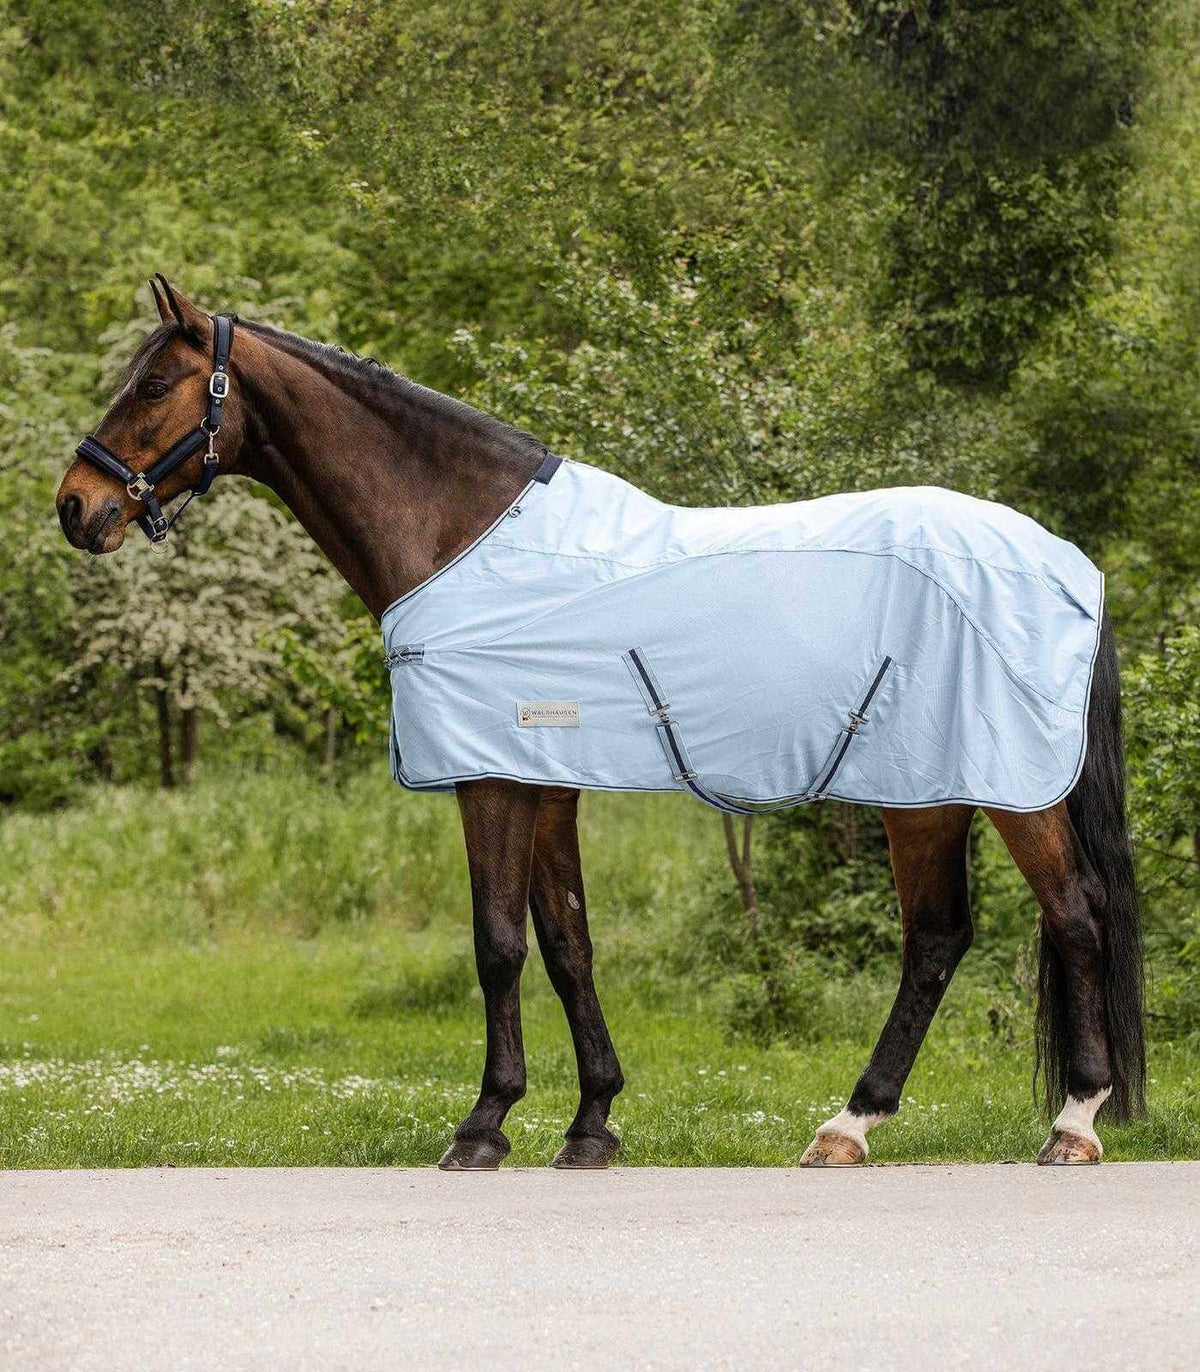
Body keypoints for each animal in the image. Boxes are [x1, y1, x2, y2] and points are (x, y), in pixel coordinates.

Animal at [55, 277, 1145, 1169]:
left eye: (155, 384)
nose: (76, 504)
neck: (462, 537)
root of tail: (1066, 560)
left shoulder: (493, 779)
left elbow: (498, 940)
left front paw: (484, 1125)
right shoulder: (545, 780)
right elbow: (567, 941)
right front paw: (591, 1124)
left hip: (1006, 789)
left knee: (1075, 913)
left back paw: (1073, 1123)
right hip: (927, 791)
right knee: (937, 939)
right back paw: (850, 1125)